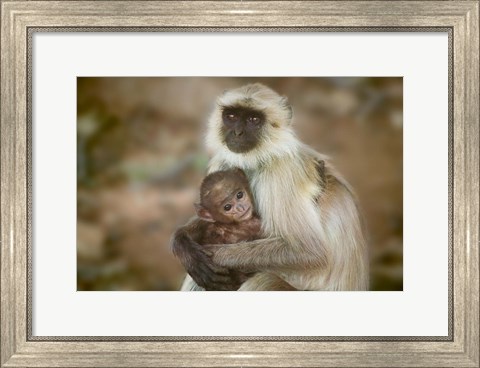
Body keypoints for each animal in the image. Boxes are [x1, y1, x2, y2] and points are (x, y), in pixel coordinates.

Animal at [172, 83, 368, 290]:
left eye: (253, 120)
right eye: (231, 116)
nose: (237, 133)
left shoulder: (281, 171)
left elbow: (308, 251)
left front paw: (211, 256)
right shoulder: (223, 163)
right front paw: (184, 244)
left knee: (263, 280)